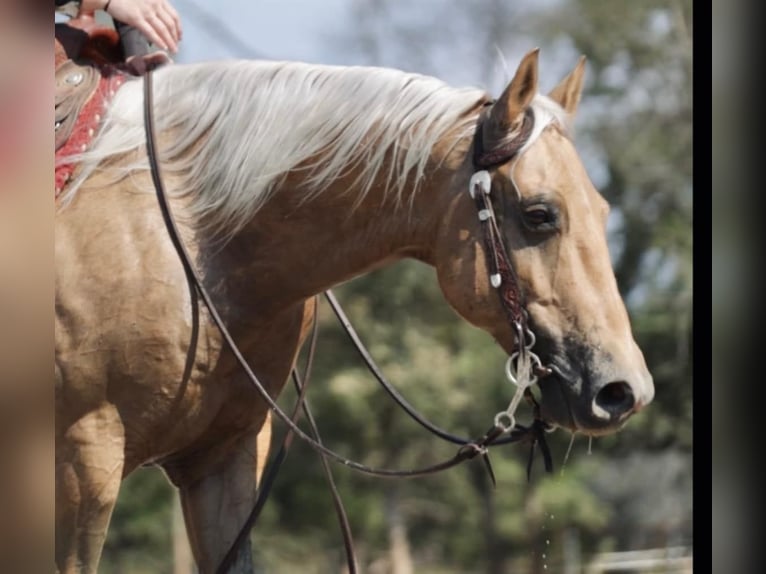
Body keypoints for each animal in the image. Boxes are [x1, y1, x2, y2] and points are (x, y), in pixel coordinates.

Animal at [55, 51, 656, 572]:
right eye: (539, 214)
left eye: (603, 210)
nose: (624, 390)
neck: (196, 241)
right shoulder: (83, 463)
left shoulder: (225, 456)